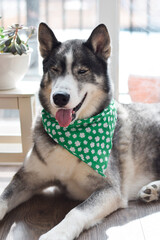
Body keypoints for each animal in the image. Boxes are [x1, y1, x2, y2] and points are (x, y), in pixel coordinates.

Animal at [0, 23, 160, 240]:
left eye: (82, 71)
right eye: (54, 69)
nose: (59, 97)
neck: (73, 135)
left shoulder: (110, 189)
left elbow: (77, 211)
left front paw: (55, 234)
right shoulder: (27, 178)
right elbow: (3, 198)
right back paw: (152, 189)